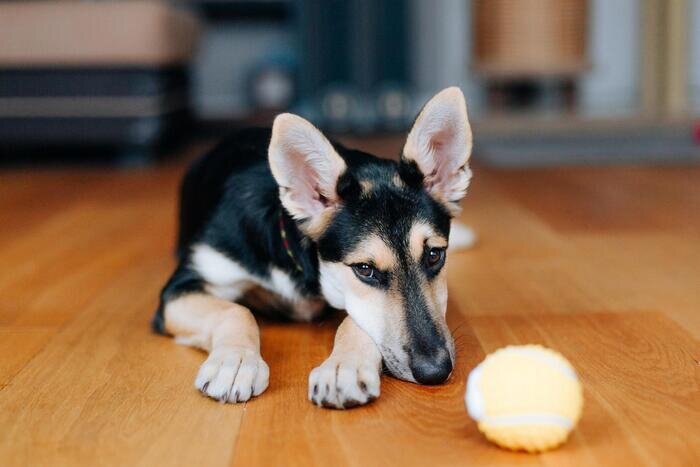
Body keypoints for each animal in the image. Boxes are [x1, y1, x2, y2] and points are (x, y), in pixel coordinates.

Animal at [150, 88, 474, 410]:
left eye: (434, 255)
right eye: (364, 270)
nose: (435, 371)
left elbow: (354, 318)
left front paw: (344, 368)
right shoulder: (181, 287)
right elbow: (237, 311)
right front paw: (236, 362)